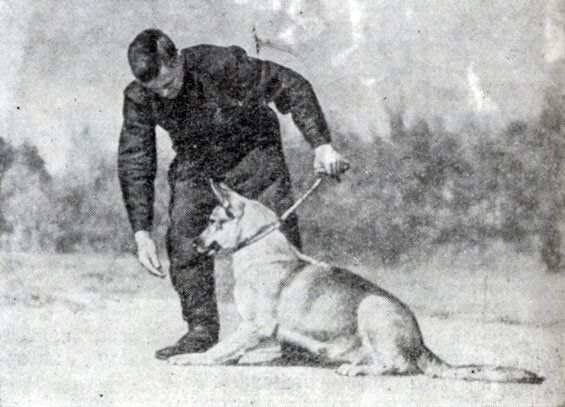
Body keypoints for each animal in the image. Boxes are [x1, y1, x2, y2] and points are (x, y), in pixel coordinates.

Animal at [168, 181, 543, 384]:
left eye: (213, 221)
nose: (194, 244)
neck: (260, 250)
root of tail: (420, 342)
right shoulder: (253, 330)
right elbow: (229, 350)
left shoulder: (253, 326)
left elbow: (217, 350)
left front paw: (191, 358)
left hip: (371, 308)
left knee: (399, 365)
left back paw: (357, 370)